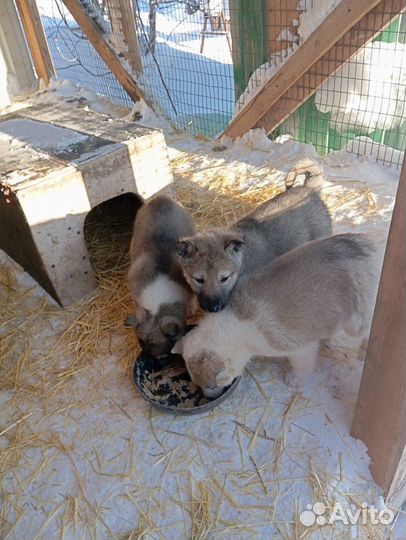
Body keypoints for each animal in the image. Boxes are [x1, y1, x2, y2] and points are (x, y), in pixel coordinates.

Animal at [173, 233, 380, 396]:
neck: (234, 323)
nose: (208, 396)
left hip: (358, 319)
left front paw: (295, 380)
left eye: (211, 386)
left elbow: (301, 364)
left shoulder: (299, 347)